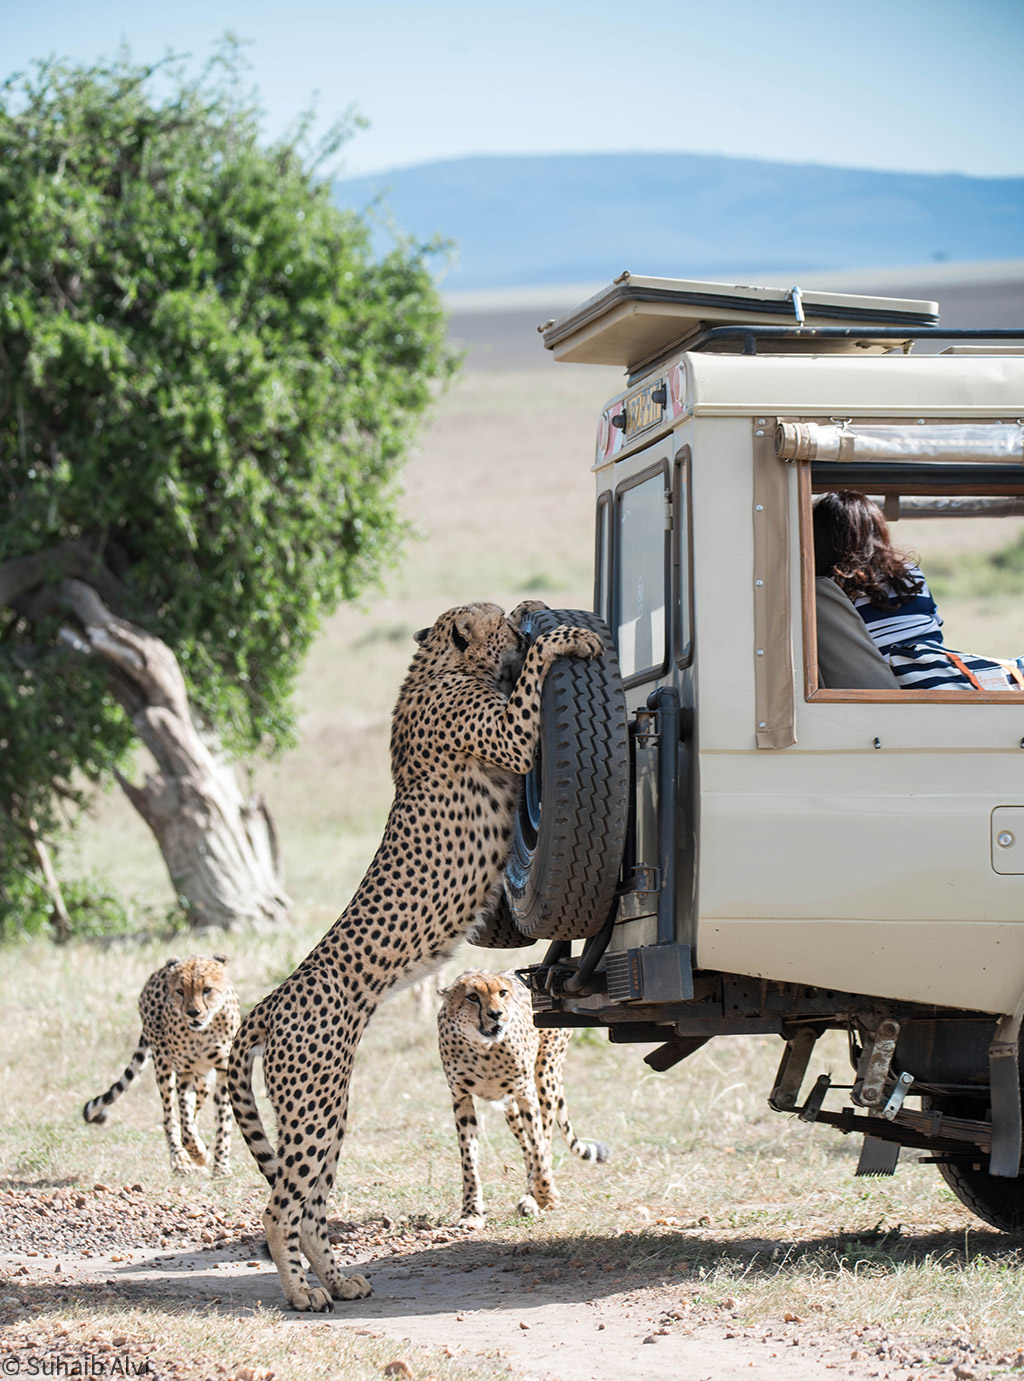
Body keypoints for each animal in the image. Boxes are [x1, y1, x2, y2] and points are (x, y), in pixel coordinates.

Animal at [433, 972, 608, 1231]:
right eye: (472, 997)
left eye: (502, 993)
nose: (496, 1014)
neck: (482, 1047)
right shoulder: (461, 1098)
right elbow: (469, 1160)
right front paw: (472, 1212)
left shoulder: (526, 1092)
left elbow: (539, 1146)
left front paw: (546, 1195)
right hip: (510, 1106)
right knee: (525, 1144)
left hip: (546, 1074)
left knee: (544, 1138)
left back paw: (535, 1195)